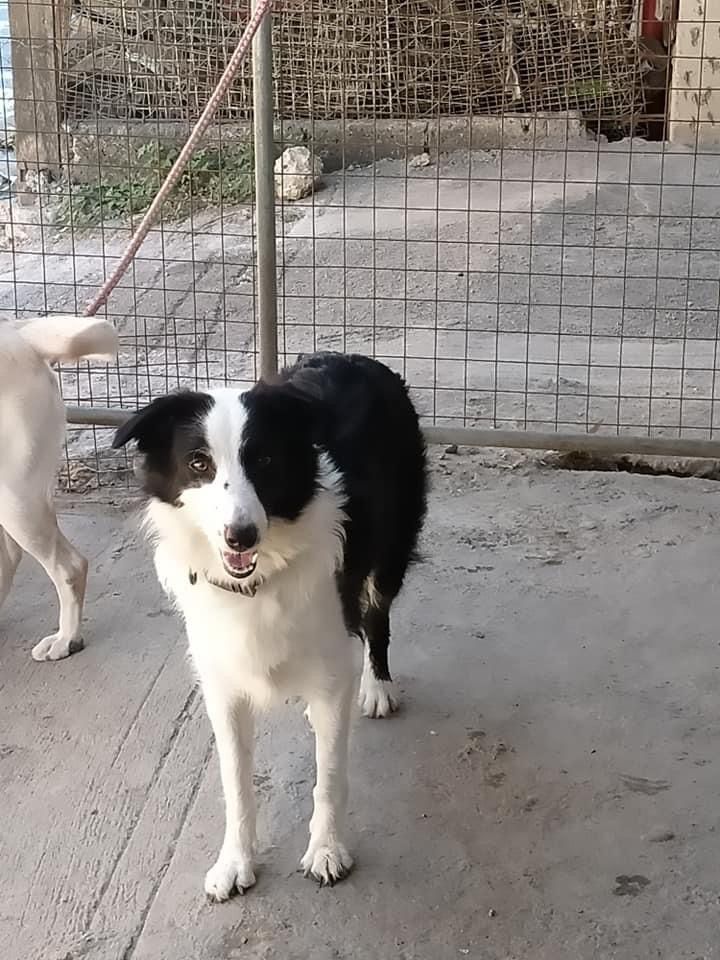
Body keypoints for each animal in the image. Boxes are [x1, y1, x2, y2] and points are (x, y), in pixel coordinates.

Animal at [113, 352, 428, 900]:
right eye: (199, 463)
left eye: (263, 461)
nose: (240, 535)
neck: (259, 580)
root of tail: (357, 358)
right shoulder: (222, 683)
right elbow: (236, 785)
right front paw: (235, 862)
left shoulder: (332, 651)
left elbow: (329, 777)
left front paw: (326, 851)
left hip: (390, 551)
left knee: (377, 619)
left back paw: (375, 686)